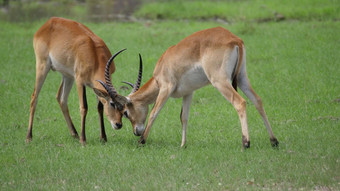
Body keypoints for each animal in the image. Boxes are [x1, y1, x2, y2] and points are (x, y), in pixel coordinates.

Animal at [95, 26, 278, 148]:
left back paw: (246, 143)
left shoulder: (166, 88)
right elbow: (184, 117)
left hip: (220, 81)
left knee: (240, 102)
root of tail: (235, 39)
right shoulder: (188, 93)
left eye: (125, 112)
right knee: (257, 100)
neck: (162, 66)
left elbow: (154, 112)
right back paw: (274, 141)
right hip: (241, 78)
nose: (136, 132)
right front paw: (183, 145)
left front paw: (142, 141)